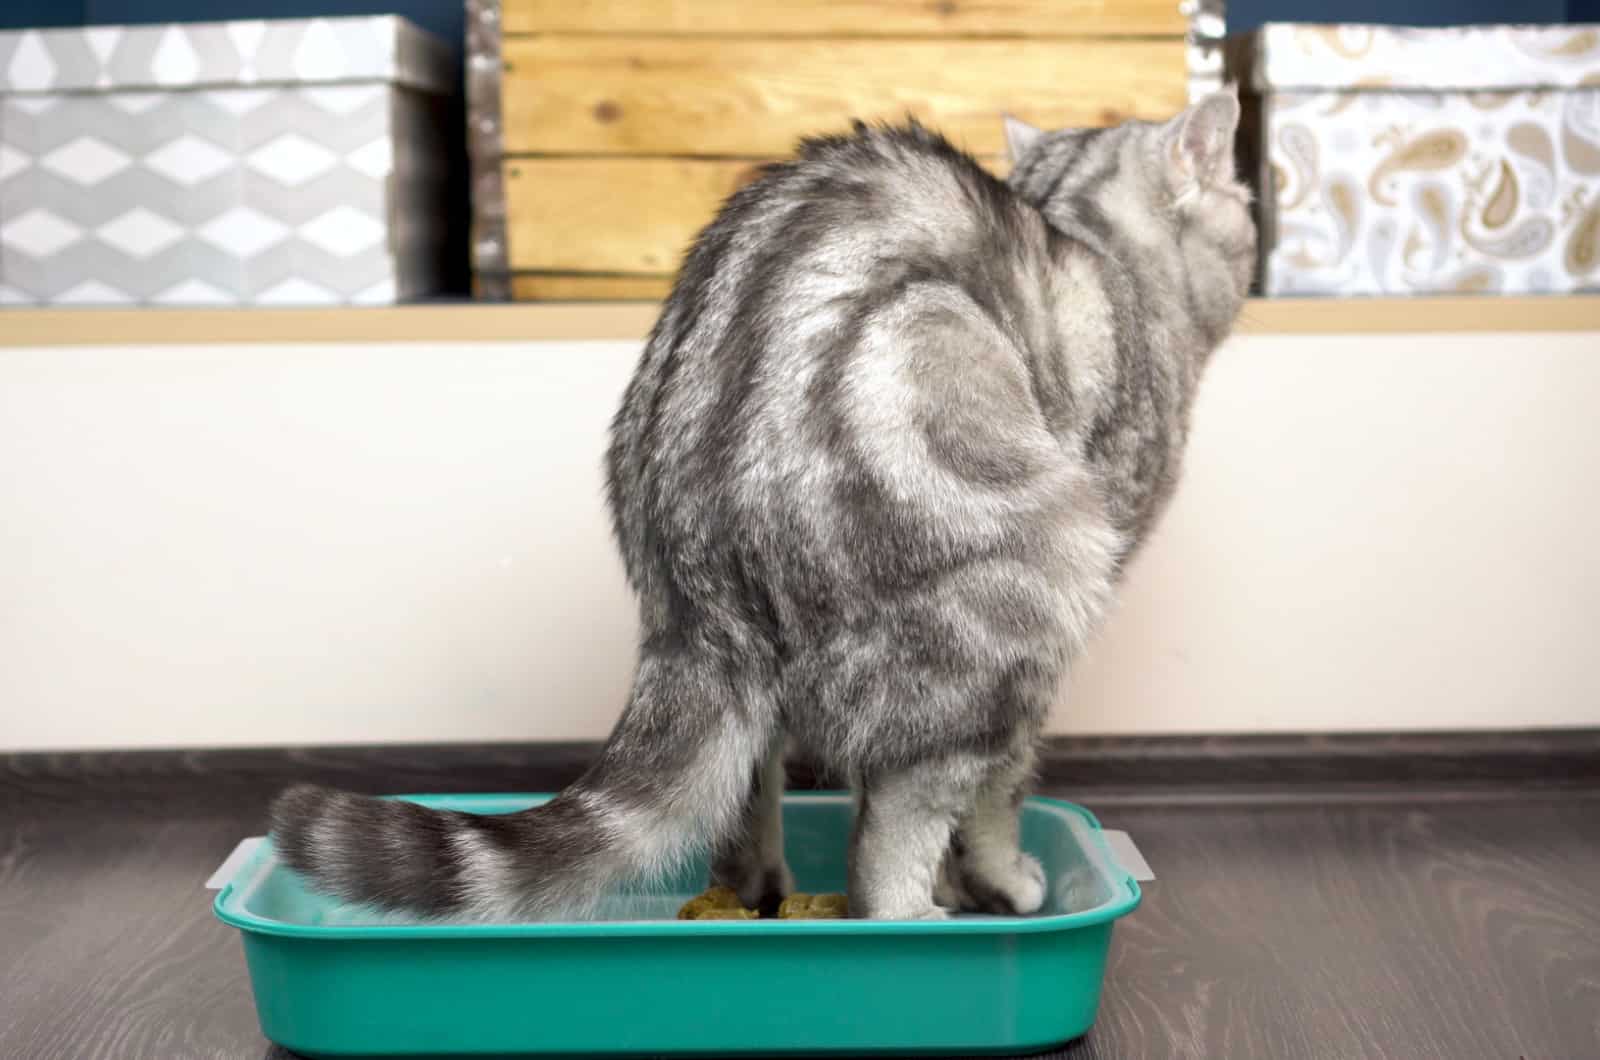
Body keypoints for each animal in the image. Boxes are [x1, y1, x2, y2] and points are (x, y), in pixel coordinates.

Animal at [268, 89, 1254, 922]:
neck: (1093, 240)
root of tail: (697, 577)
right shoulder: (1061, 632)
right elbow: (1002, 790)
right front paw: (998, 876)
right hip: (1033, 585)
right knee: (885, 847)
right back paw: (920, 917)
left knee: (754, 798)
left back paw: (762, 890)